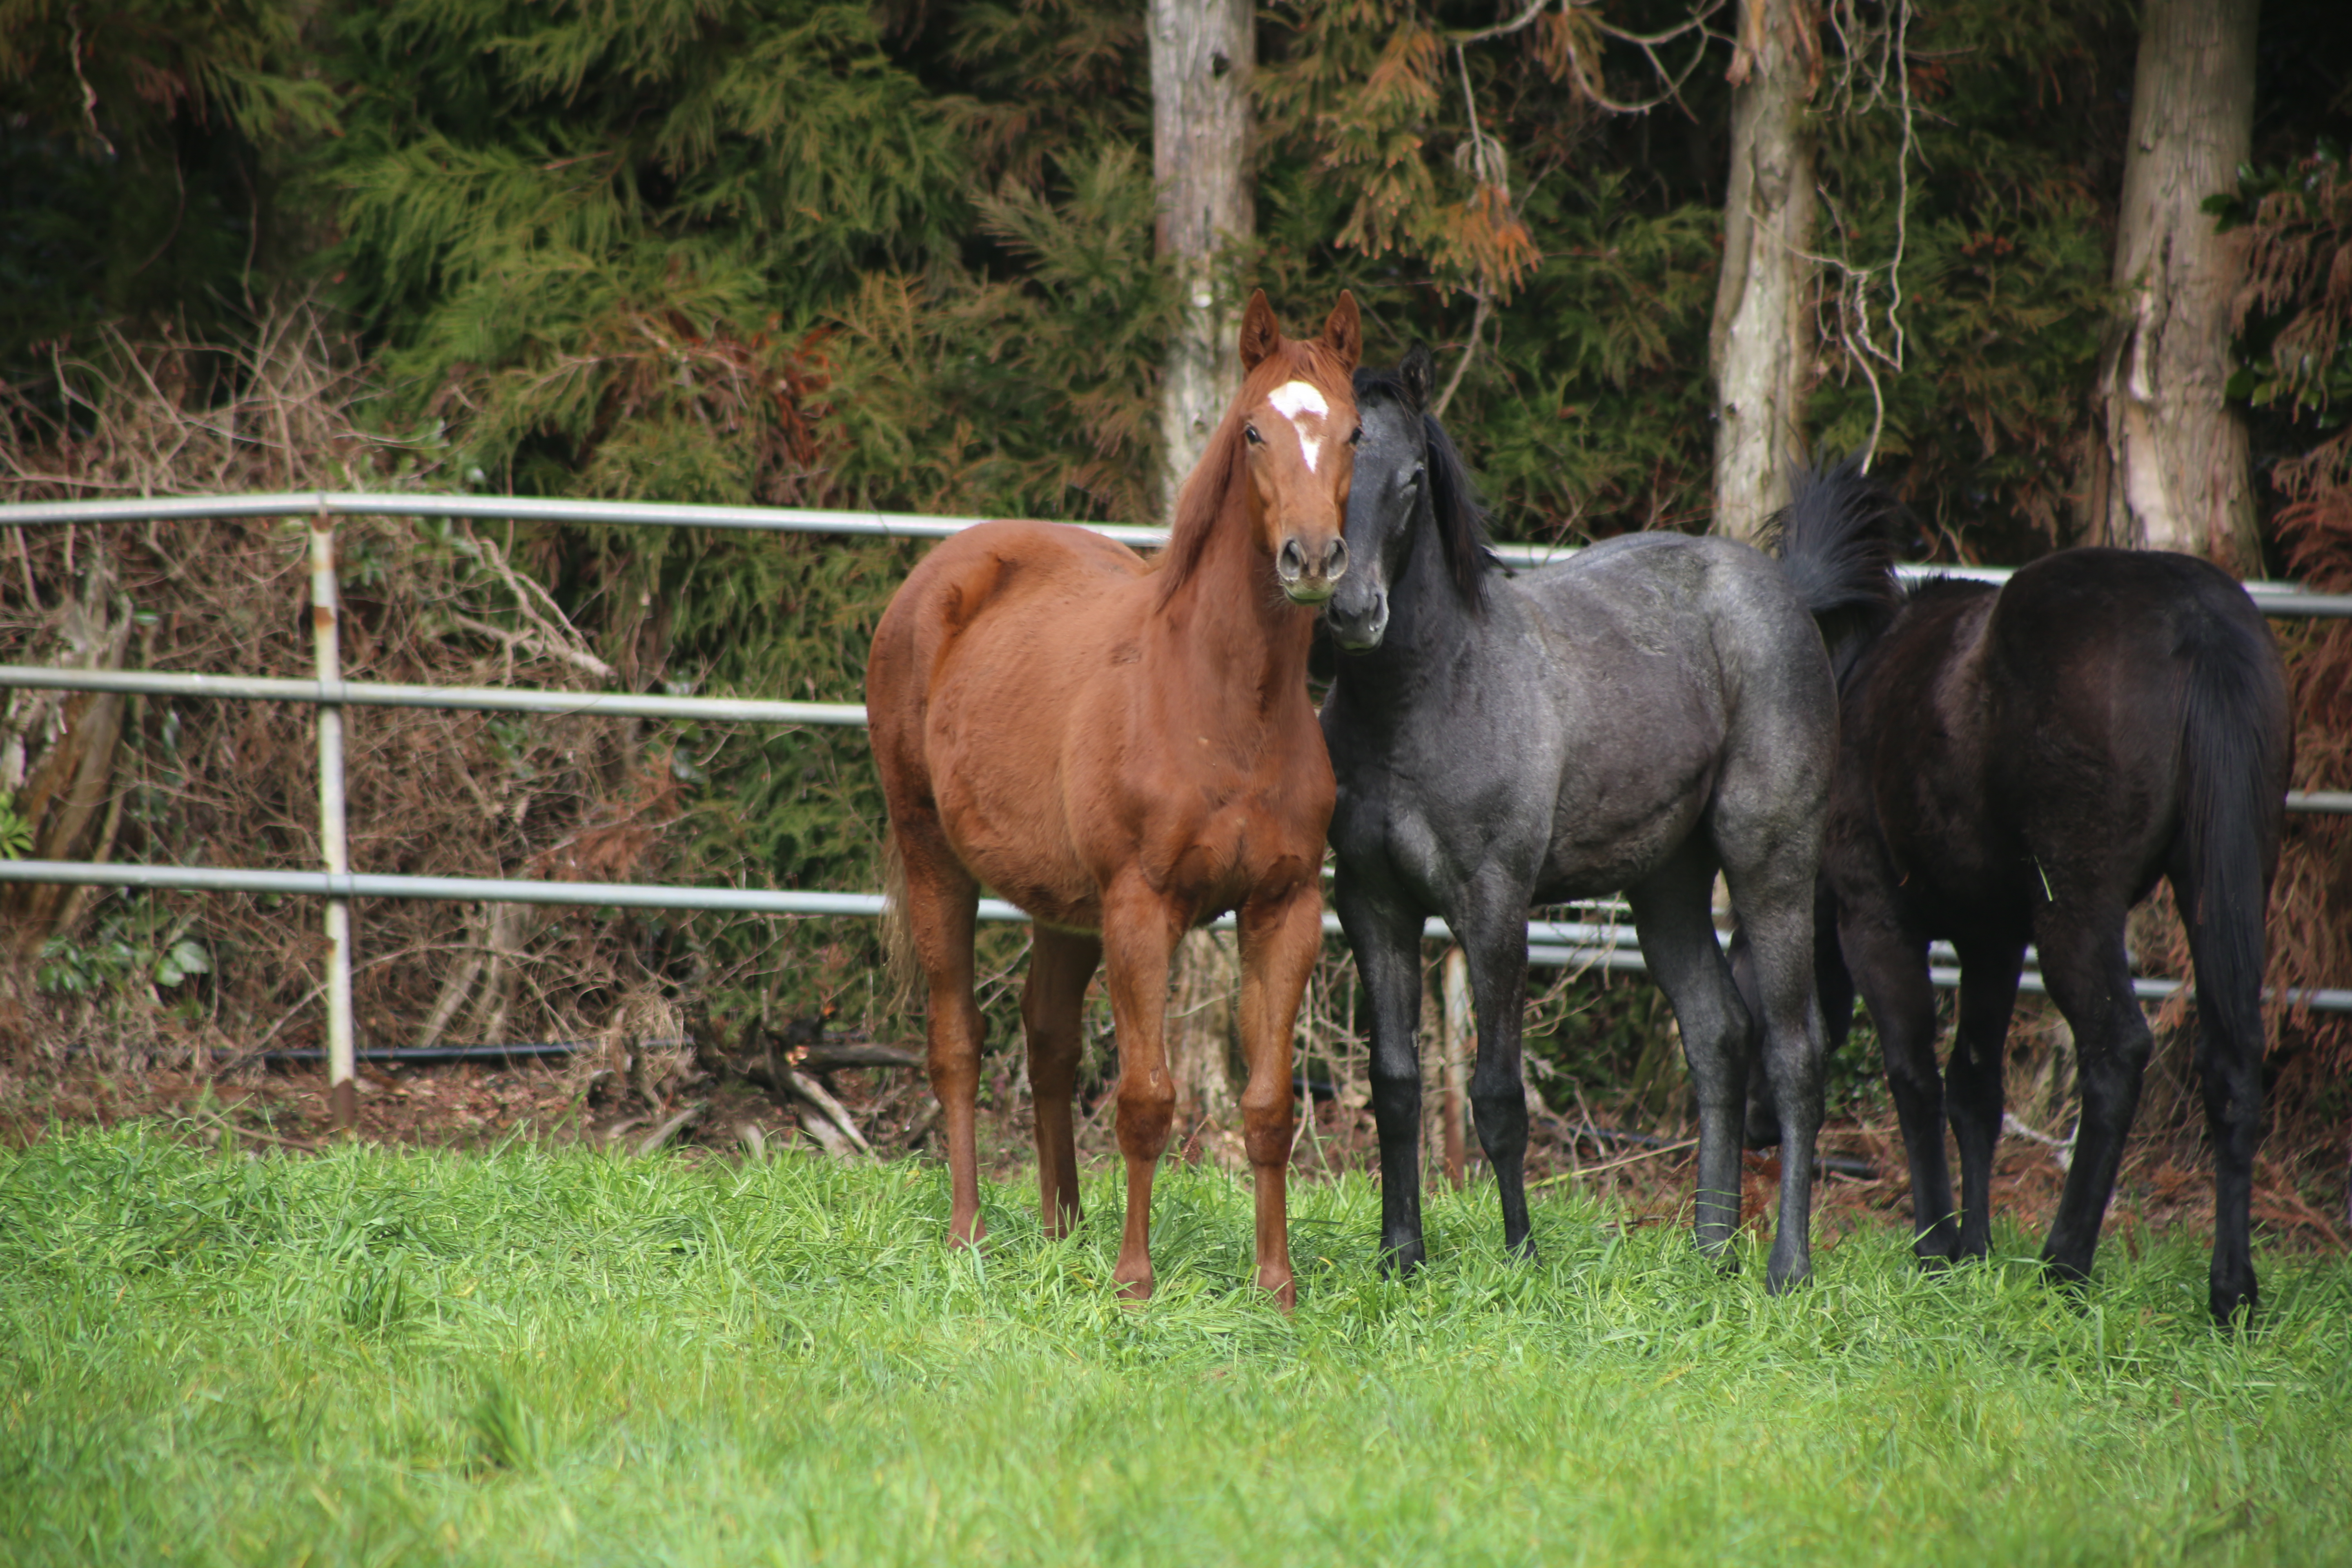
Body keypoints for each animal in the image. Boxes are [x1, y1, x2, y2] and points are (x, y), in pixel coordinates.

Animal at [870, 294, 1364, 1316]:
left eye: (1355, 432)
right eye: (1253, 430)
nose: (1312, 558)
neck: (1226, 708)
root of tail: (943, 572)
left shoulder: (1285, 911)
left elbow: (1268, 1107)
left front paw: (1276, 1285)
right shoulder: (1143, 908)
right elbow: (1146, 1098)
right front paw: (1135, 1283)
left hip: (1065, 910)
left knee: (1048, 1042)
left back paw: (1063, 1228)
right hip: (937, 860)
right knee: (958, 1044)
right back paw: (970, 1234)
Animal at [1317, 352, 1900, 1288]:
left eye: (1410, 478)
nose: (1354, 611)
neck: (1430, 694)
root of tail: (1784, 591)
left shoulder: (1494, 908)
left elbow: (1498, 1095)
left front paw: (1520, 1257)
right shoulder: (1374, 908)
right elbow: (1397, 1085)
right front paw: (1400, 1258)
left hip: (1772, 864)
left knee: (1794, 1051)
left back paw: (1787, 1267)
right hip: (1666, 886)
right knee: (1719, 1035)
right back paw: (1709, 1249)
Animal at [1787, 463, 2286, 1326]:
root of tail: (2198, 622)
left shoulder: (1875, 920)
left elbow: (1915, 1078)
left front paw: (1935, 1248)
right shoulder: (1993, 939)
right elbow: (1975, 1090)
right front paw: (1974, 1246)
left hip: (2078, 908)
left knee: (2117, 1051)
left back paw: (2066, 1263)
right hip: (2226, 883)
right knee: (2232, 1059)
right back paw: (2231, 1293)